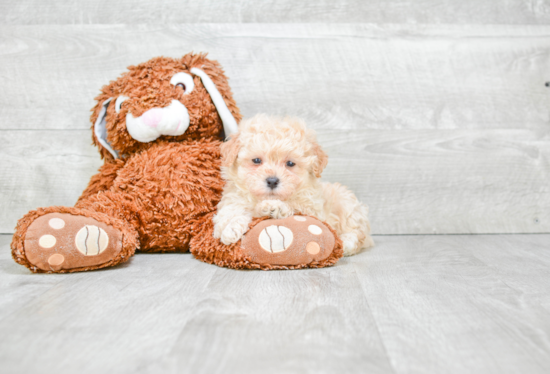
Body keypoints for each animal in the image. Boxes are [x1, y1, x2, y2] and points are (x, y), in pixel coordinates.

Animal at [212, 114, 376, 258]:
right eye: (256, 160)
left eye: (290, 163)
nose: (272, 181)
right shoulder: (233, 200)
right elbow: (229, 214)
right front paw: (230, 229)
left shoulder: (314, 210)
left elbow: (295, 207)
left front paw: (274, 207)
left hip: (349, 207)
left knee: (358, 235)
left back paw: (345, 244)